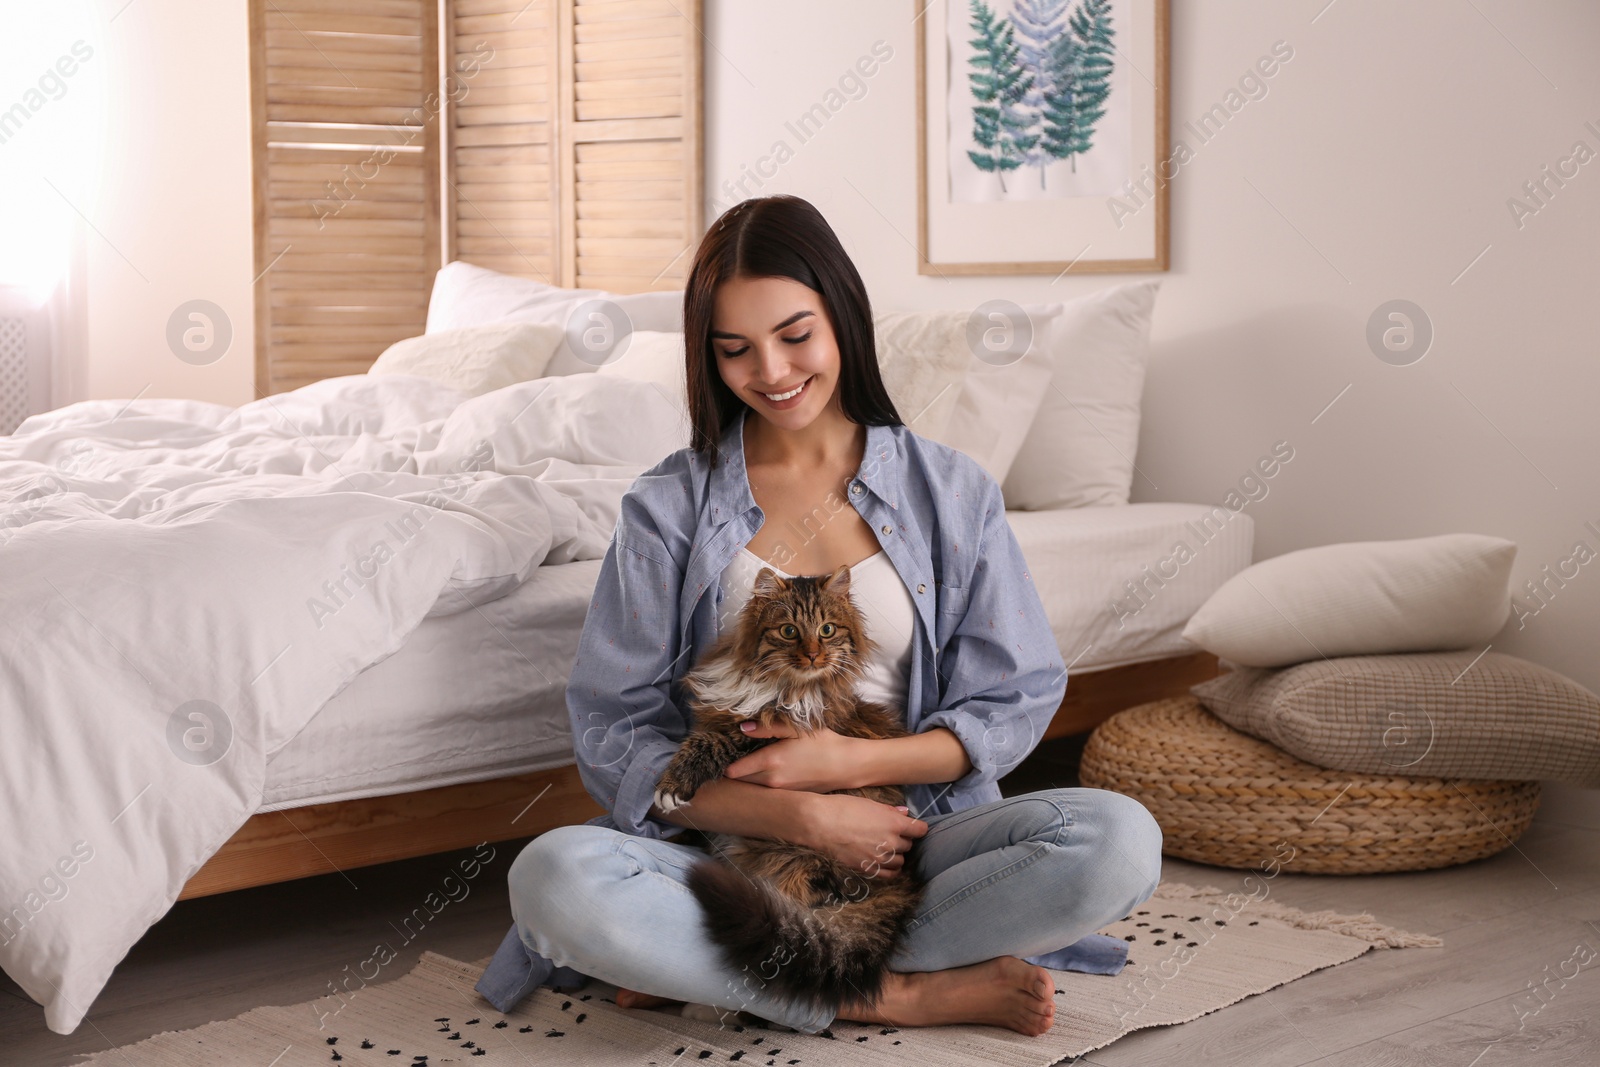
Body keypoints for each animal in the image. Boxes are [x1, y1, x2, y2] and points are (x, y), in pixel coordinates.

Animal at [649, 559, 928, 1017]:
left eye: (828, 630)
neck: (781, 685)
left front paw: (672, 786)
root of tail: (903, 881)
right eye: (789, 631)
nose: (814, 654)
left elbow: (710, 743)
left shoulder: (760, 736)